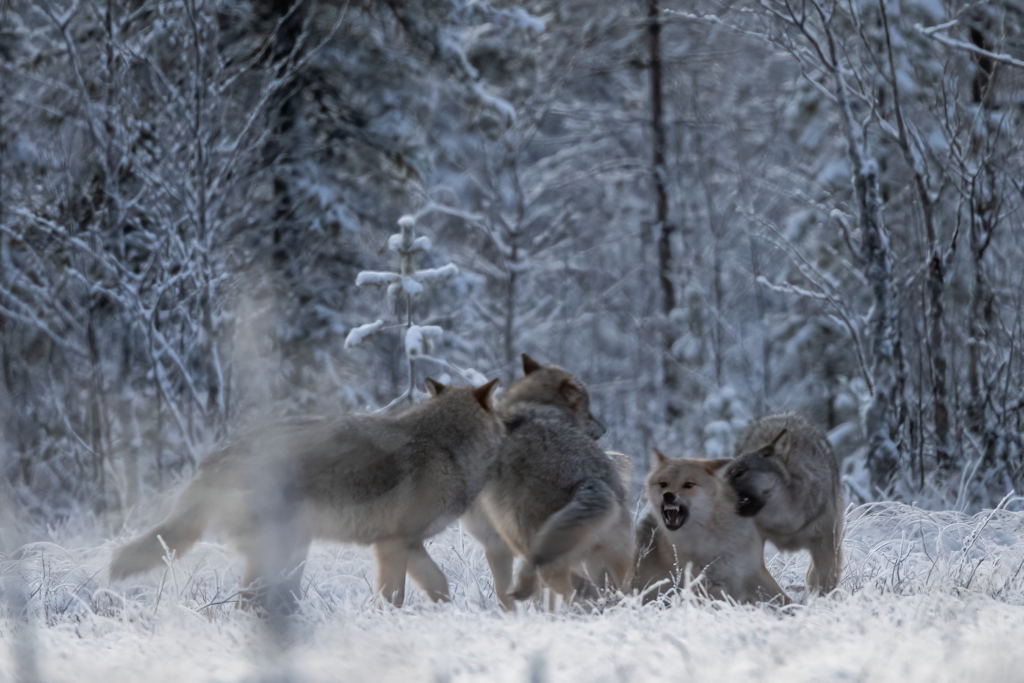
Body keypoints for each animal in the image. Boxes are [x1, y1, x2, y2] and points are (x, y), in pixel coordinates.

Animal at [112, 378, 503, 610]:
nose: (509, 429)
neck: (445, 447)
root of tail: (211, 460)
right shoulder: (392, 545)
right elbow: (393, 598)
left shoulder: (409, 544)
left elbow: (440, 586)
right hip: (281, 552)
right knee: (246, 602)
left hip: (294, 553)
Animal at [462, 356, 634, 606]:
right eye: (588, 408)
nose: (604, 429)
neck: (535, 405)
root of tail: (590, 480)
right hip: (614, 567)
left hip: (550, 565)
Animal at [630, 450, 790, 606]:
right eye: (663, 484)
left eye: (689, 485)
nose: (668, 495)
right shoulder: (705, 583)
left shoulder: (751, 571)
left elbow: (783, 599)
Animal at [724, 411, 843, 598]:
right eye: (726, 473)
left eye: (739, 473)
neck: (786, 525)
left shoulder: (825, 543)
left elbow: (825, 583)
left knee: (813, 575)